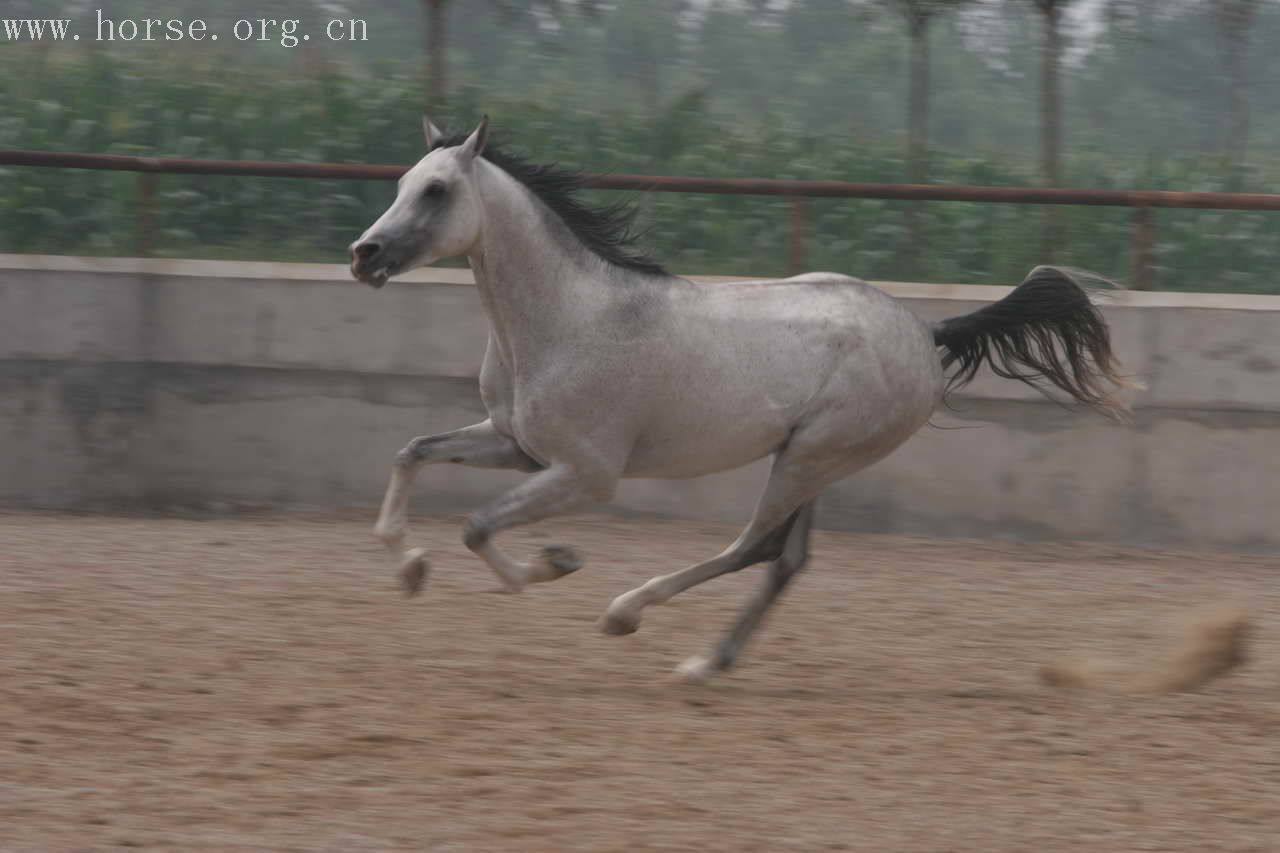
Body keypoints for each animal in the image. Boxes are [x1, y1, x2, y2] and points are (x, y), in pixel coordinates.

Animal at [350, 116, 1131, 681]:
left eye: (437, 191)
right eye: (401, 182)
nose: (365, 255)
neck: (569, 318)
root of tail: (925, 329)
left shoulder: (586, 474)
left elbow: (478, 526)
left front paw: (554, 563)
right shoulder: (516, 445)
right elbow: (411, 452)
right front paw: (410, 566)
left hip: (813, 457)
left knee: (754, 545)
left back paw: (631, 615)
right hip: (814, 461)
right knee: (785, 560)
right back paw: (709, 660)